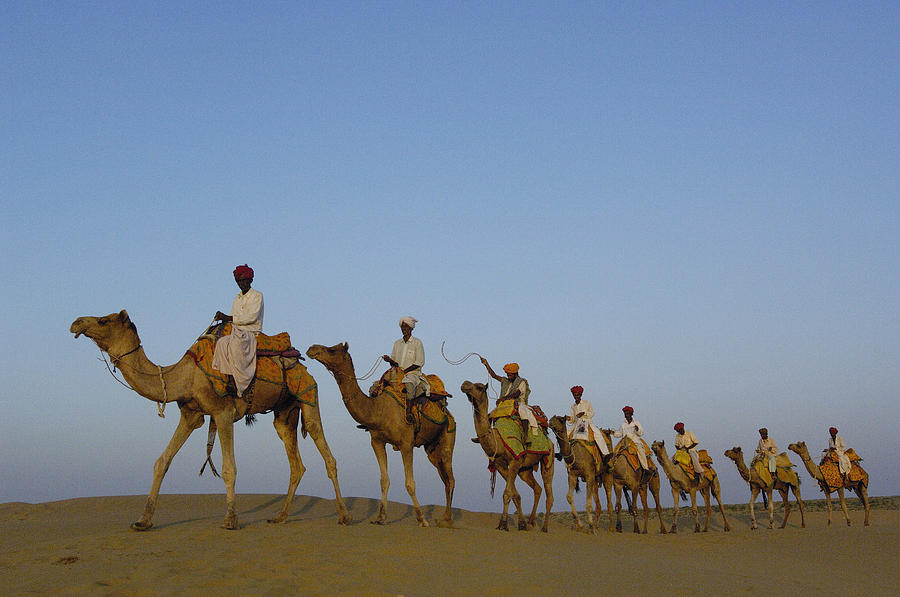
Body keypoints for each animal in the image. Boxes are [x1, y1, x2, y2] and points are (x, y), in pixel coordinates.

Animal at [69, 310, 352, 528]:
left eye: (103, 321)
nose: (76, 322)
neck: (184, 376)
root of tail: (300, 362)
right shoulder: (190, 415)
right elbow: (162, 461)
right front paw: (143, 520)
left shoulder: (222, 413)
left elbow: (229, 468)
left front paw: (230, 519)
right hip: (284, 413)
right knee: (296, 464)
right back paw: (280, 516)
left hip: (307, 392)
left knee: (326, 452)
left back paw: (344, 516)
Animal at [306, 340, 458, 528]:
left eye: (332, 350)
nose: (312, 348)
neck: (379, 410)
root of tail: (448, 413)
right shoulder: (377, 442)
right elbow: (384, 480)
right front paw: (380, 517)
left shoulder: (406, 444)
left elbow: (410, 483)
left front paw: (422, 519)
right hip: (431, 448)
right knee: (445, 478)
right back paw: (444, 518)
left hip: (448, 435)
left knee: (450, 478)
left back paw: (447, 520)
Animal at [460, 382, 552, 532]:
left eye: (479, 387)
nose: (465, 384)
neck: (498, 439)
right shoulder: (501, 465)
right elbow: (515, 494)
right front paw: (521, 524)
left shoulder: (515, 461)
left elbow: (507, 493)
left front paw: (503, 524)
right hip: (525, 470)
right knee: (537, 488)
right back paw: (531, 522)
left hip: (549, 457)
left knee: (549, 492)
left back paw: (544, 527)